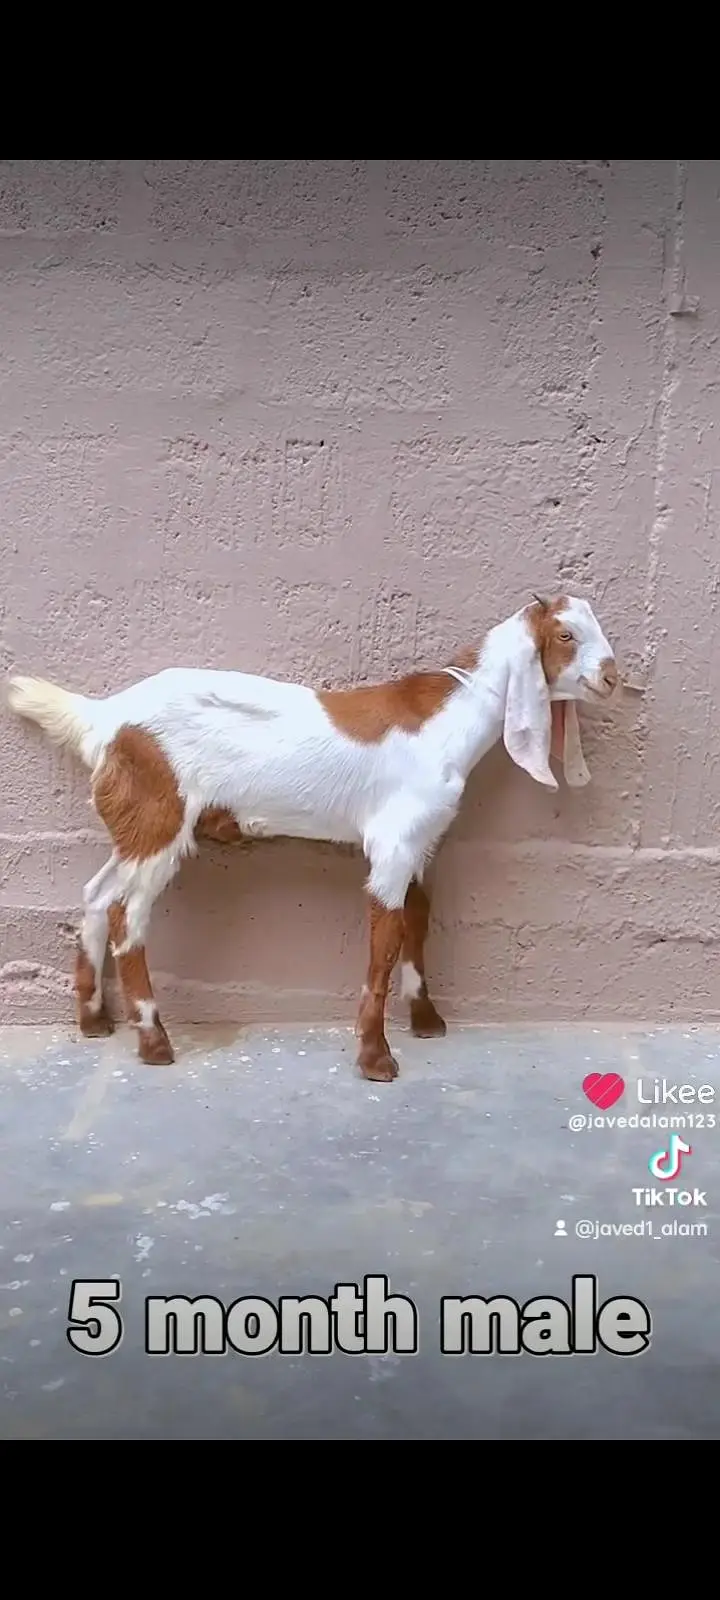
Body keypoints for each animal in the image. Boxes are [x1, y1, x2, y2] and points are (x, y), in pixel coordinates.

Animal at [6, 593, 618, 1083]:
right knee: (125, 915)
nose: (612, 677)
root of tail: (103, 719)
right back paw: (154, 1041)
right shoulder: (393, 843)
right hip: (160, 820)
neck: (450, 719)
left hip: (138, 826)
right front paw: (376, 1058)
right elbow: (385, 937)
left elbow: (418, 919)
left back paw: (93, 1019)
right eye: (566, 634)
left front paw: (426, 1019)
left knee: (96, 893)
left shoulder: (422, 842)